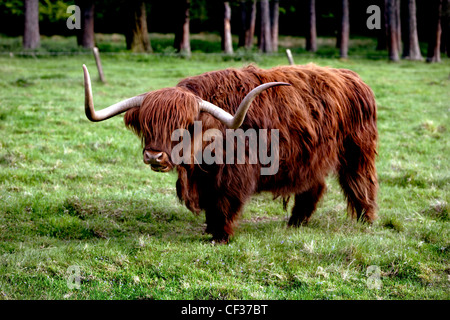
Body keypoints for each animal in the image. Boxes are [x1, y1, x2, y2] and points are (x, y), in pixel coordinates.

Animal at [82, 62, 378, 242]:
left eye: (184, 126)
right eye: (147, 124)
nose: (154, 156)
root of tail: (352, 77)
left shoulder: (234, 174)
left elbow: (224, 203)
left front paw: (220, 236)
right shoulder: (205, 178)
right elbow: (211, 204)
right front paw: (210, 229)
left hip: (357, 151)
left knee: (361, 183)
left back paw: (366, 221)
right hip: (310, 158)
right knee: (313, 187)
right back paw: (295, 223)